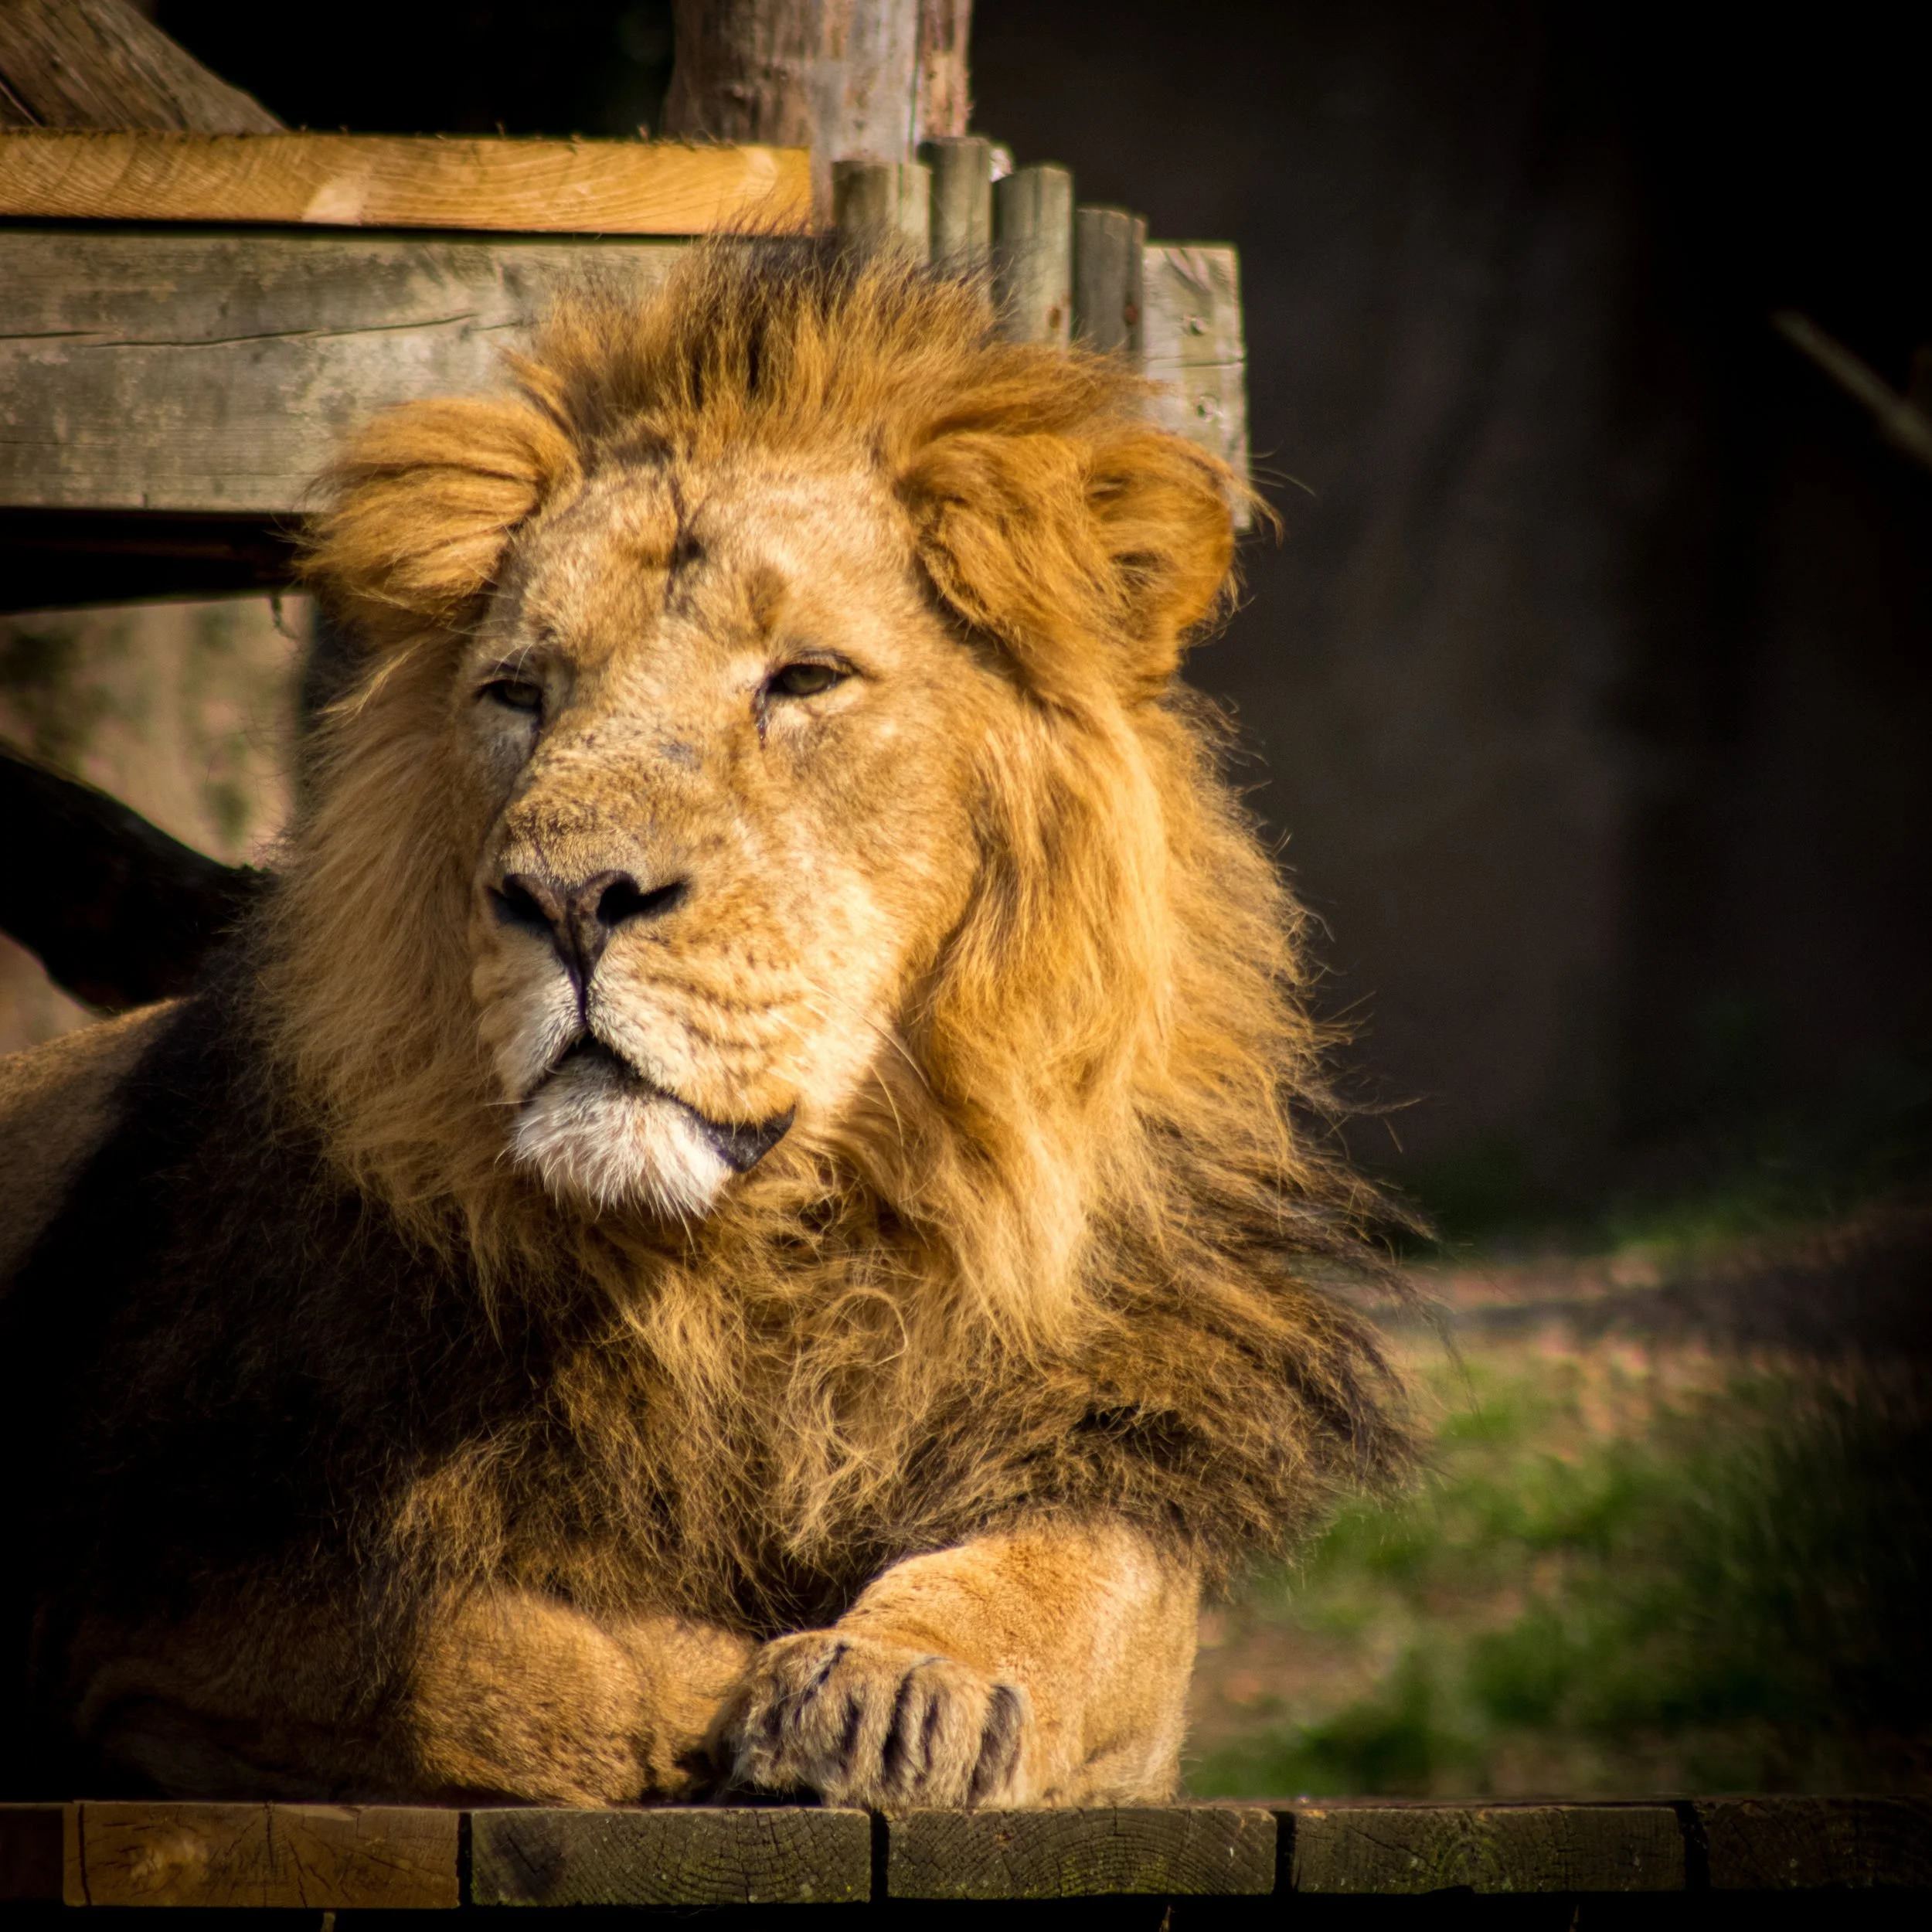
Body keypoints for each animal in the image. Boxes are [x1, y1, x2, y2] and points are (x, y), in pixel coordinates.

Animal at [0, 241, 1407, 1808]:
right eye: (518, 693)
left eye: (804, 679)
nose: (565, 898)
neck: (757, 1283)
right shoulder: (156, 1591)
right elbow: (485, 1661)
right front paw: (723, 1703)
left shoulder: (1115, 1459)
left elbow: (1077, 1588)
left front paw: (904, 1682)